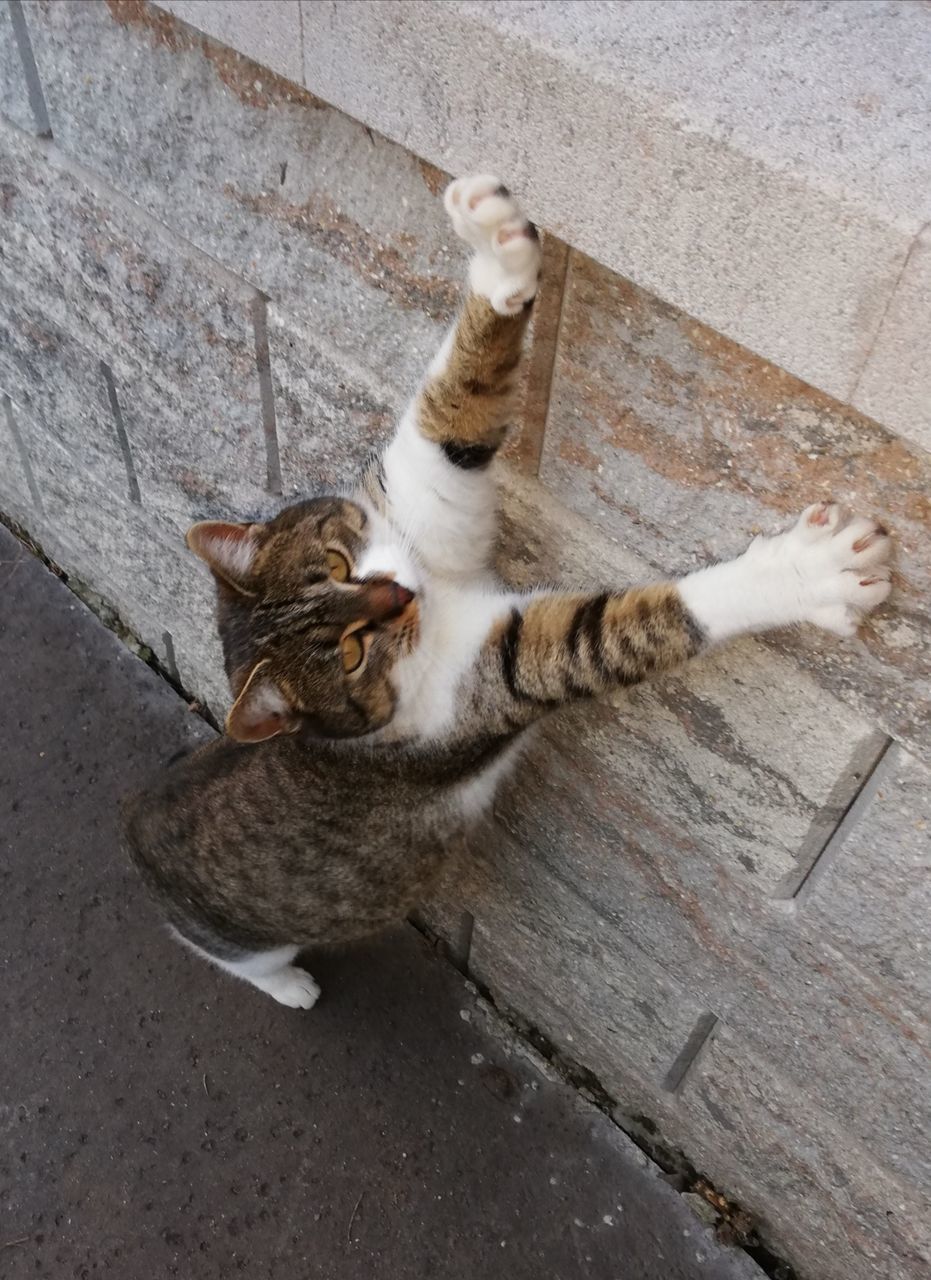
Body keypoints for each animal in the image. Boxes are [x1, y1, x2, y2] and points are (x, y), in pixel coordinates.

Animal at [120, 172, 891, 1008]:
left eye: (336, 561)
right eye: (351, 655)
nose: (397, 596)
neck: (437, 592)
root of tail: (134, 817)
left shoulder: (423, 501)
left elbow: (448, 417)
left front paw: (493, 254)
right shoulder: (494, 681)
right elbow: (617, 629)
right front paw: (804, 574)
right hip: (238, 933)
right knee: (221, 951)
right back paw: (288, 985)